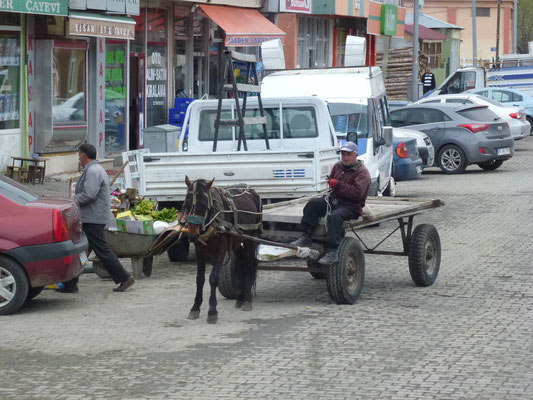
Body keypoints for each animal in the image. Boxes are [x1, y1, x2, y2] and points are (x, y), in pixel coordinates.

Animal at [181, 177, 262, 324]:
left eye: (203, 204)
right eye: (186, 203)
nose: (192, 235)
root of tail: (252, 191)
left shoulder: (221, 251)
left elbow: (213, 278)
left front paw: (212, 311)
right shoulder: (200, 251)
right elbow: (199, 279)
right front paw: (195, 308)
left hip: (252, 236)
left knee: (248, 263)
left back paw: (247, 299)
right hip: (236, 241)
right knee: (242, 260)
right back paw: (240, 298)